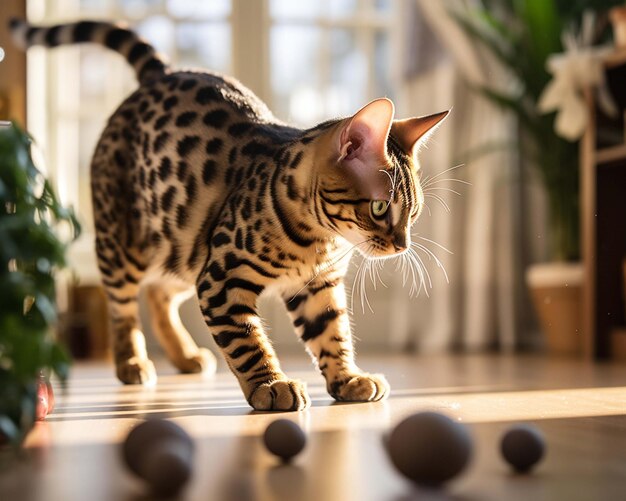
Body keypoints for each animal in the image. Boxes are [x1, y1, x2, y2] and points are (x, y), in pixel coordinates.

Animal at [11, 19, 448, 410]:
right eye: (379, 207)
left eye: (414, 214)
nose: (401, 245)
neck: (319, 240)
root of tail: (161, 73)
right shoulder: (221, 277)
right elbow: (246, 342)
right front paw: (270, 386)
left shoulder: (317, 285)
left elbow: (332, 333)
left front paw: (348, 378)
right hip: (127, 243)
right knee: (122, 306)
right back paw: (131, 361)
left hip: (184, 245)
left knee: (158, 294)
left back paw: (184, 356)